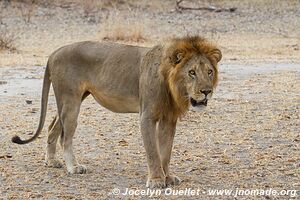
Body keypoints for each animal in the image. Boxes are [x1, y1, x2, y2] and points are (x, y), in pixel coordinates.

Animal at [11, 35, 221, 188]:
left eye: (209, 72)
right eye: (191, 72)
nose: (206, 91)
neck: (173, 85)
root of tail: (54, 52)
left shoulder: (169, 119)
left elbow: (165, 151)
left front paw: (167, 177)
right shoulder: (147, 116)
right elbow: (153, 151)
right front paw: (155, 180)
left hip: (72, 99)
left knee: (52, 127)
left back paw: (51, 161)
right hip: (70, 101)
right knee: (65, 136)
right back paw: (74, 167)